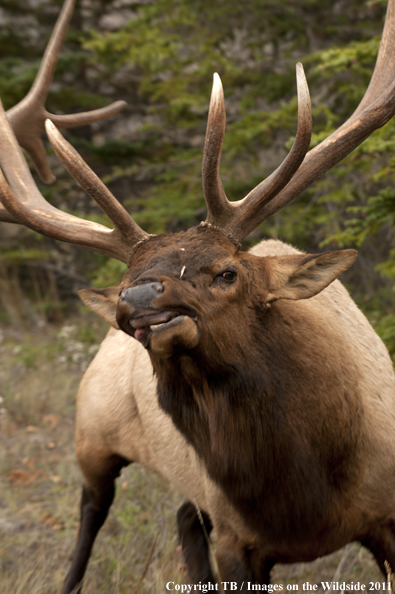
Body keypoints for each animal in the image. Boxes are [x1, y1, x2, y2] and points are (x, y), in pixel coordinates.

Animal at [0, 0, 395, 588]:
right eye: (126, 284)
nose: (137, 300)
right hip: (90, 433)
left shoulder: (385, 515)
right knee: (89, 518)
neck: (304, 493)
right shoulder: (237, 539)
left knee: (183, 518)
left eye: (227, 273)